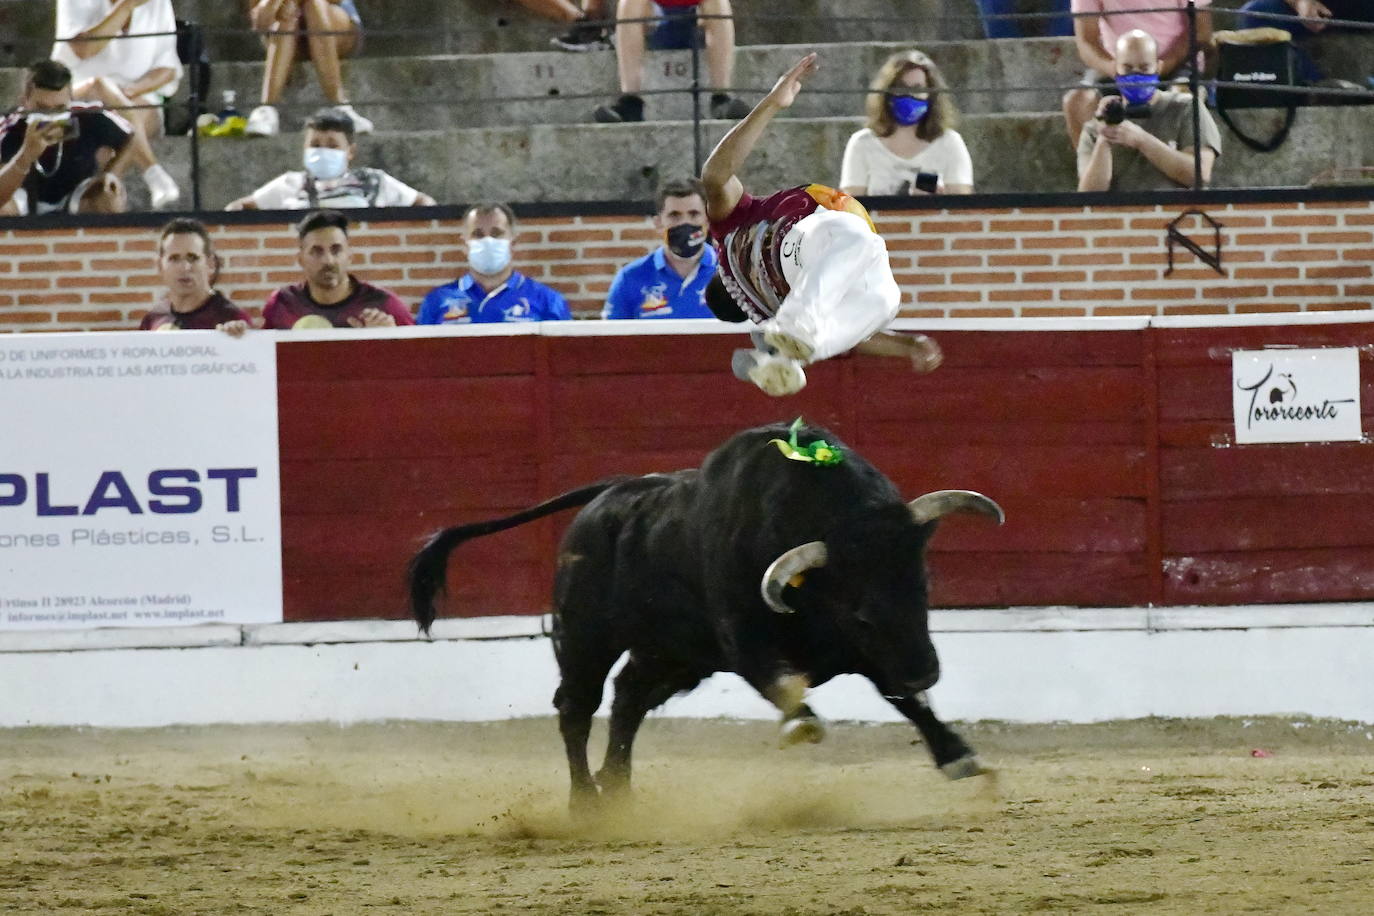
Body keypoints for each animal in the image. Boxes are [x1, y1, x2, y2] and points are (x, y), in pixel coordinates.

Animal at [403, 420, 1000, 807]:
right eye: (863, 615)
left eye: (923, 589)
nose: (927, 670)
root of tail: (607, 495)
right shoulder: (746, 639)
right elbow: (782, 682)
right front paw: (802, 726)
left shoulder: (878, 651)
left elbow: (905, 700)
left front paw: (957, 755)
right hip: (584, 637)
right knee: (576, 707)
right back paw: (587, 798)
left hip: (673, 655)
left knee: (628, 699)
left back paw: (618, 788)